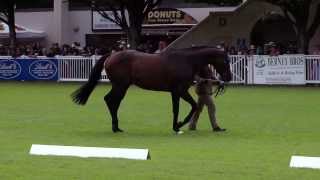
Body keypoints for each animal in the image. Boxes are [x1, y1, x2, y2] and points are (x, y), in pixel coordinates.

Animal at [72, 46, 232, 134]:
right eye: (225, 60)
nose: (229, 77)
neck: (185, 61)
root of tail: (111, 55)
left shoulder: (176, 92)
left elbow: (179, 108)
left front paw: (176, 126)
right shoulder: (179, 90)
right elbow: (190, 107)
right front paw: (178, 125)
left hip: (122, 86)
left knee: (113, 102)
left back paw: (117, 127)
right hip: (120, 86)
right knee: (110, 101)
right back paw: (115, 127)